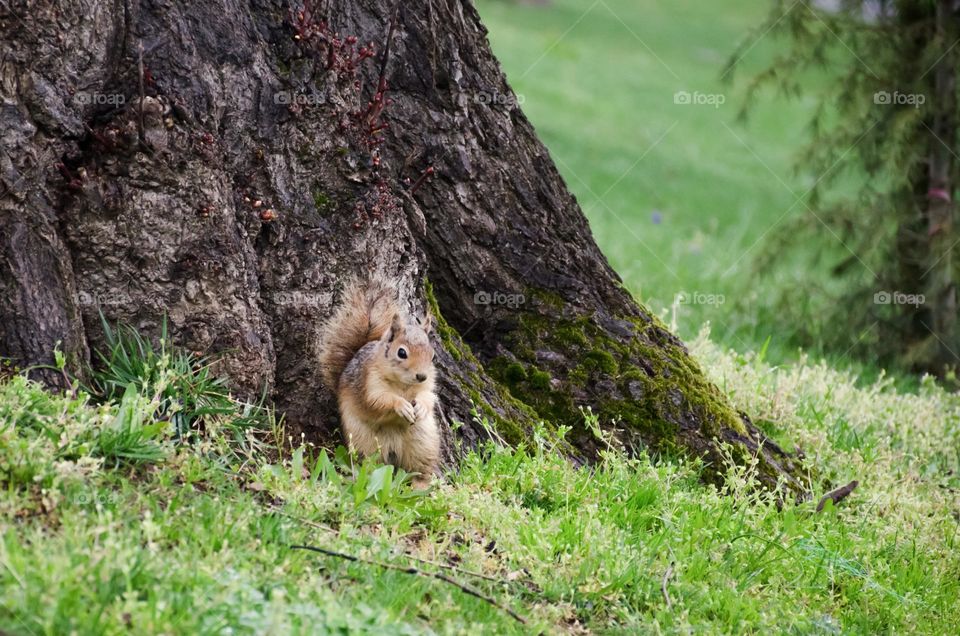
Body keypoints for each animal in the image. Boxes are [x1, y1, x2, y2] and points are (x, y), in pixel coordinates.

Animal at [322, 276, 442, 490]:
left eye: (432, 355)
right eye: (401, 352)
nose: (421, 376)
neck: (403, 385)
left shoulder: (429, 384)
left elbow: (428, 397)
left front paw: (420, 407)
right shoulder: (368, 382)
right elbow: (377, 401)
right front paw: (401, 405)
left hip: (423, 442)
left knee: (420, 470)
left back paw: (420, 485)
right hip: (365, 442)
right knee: (371, 464)